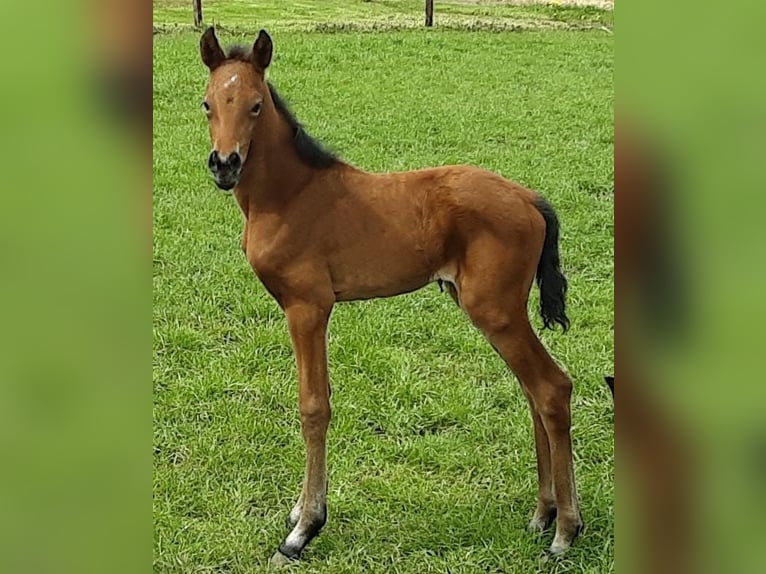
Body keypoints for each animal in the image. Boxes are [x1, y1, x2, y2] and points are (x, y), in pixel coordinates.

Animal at [198, 27, 584, 568]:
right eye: (207, 103)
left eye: (255, 105)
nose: (224, 165)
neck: (288, 196)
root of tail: (529, 197)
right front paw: (300, 512)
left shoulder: (308, 308)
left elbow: (313, 407)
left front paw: (303, 530)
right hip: (497, 310)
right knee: (534, 391)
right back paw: (543, 514)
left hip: (496, 310)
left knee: (551, 387)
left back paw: (566, 530)